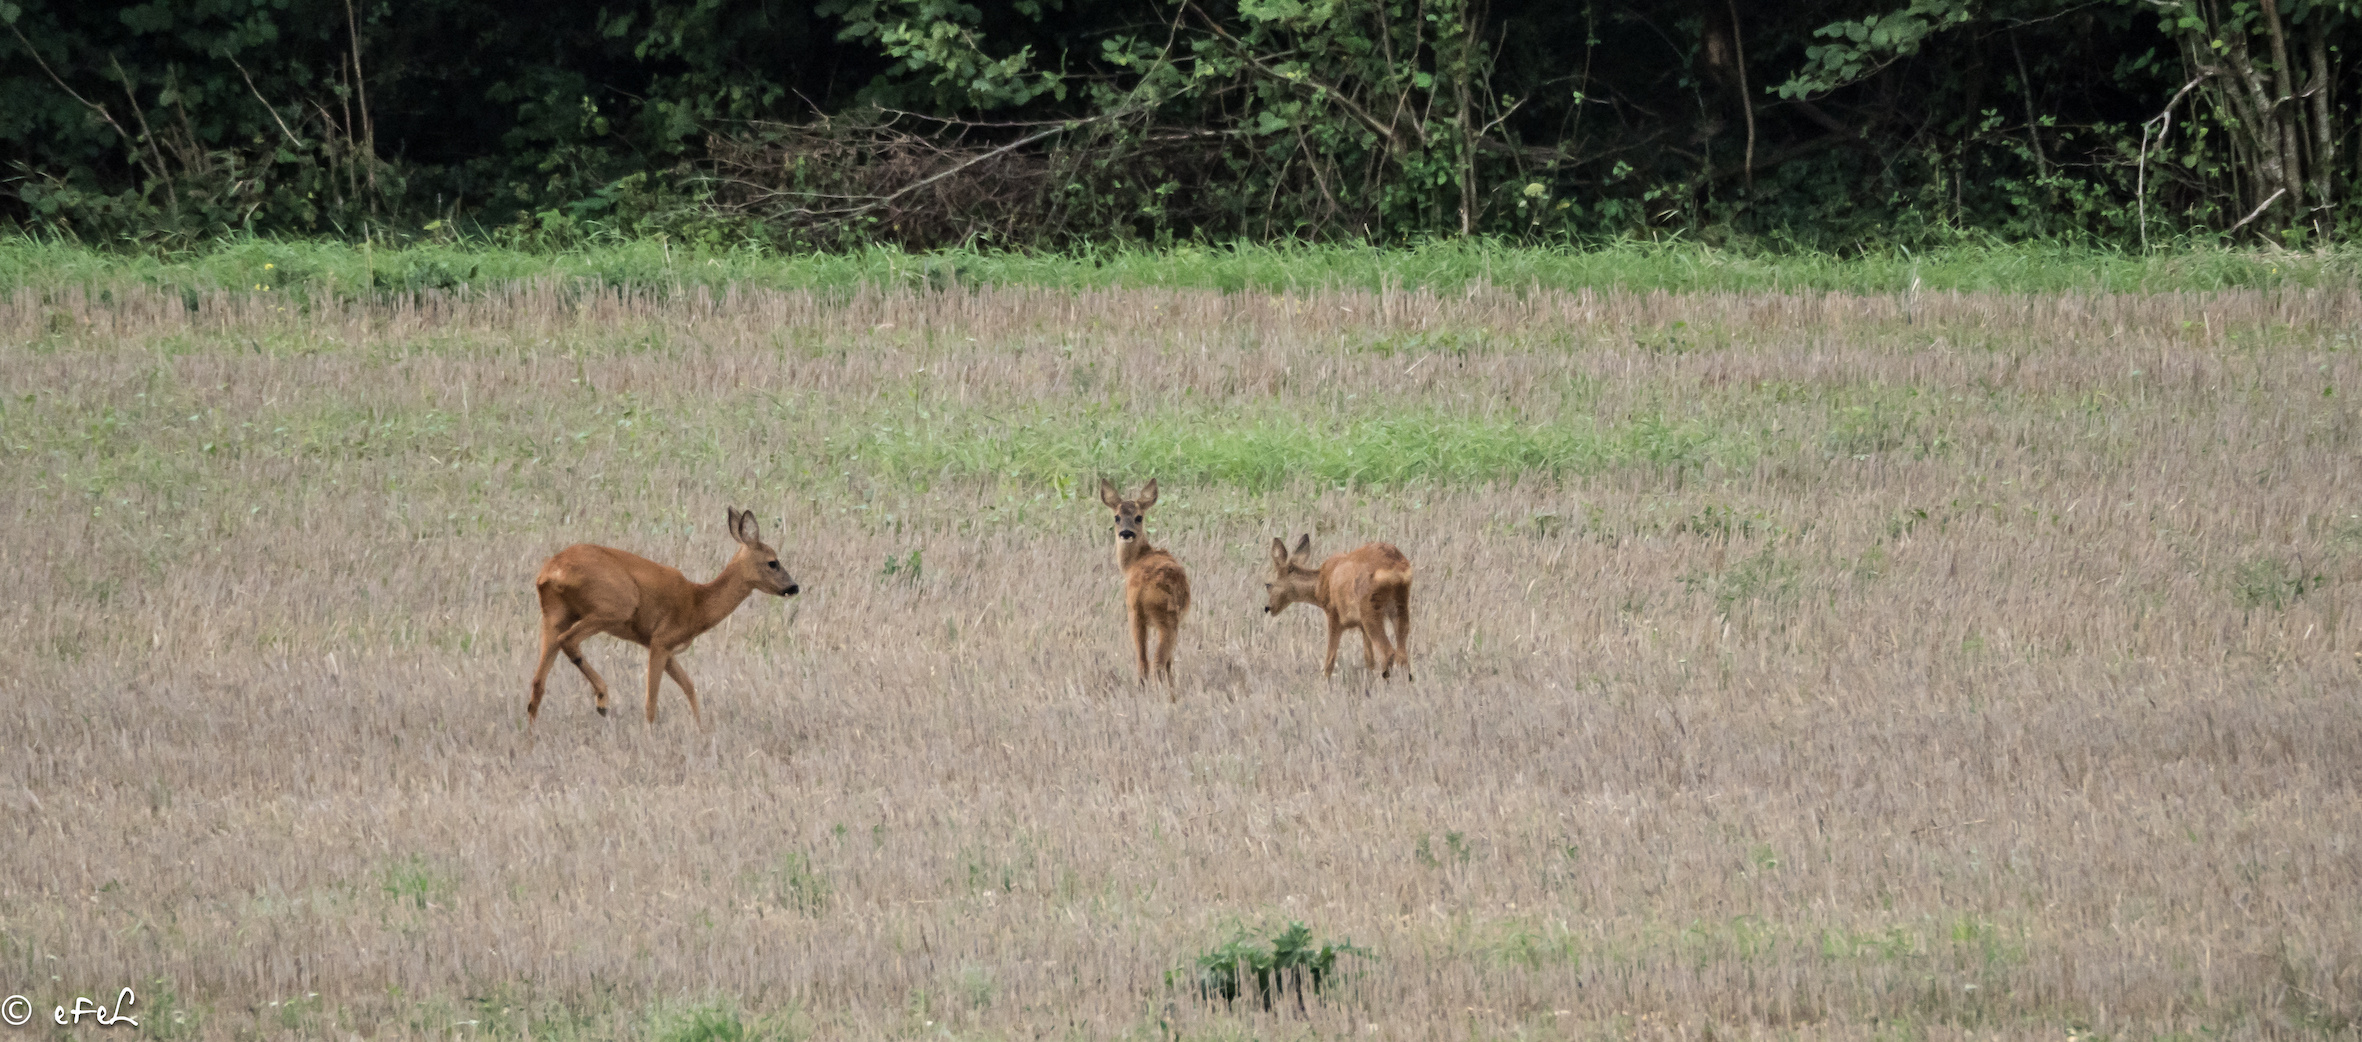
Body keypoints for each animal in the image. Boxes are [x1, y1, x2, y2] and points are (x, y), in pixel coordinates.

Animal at [531, 508, 798, 727]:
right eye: (773, 562)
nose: (794, 587)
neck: (698, 604)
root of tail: (551, 572)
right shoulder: (661, 640)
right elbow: (651, 701)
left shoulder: (666, 648)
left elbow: (689, 686)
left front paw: (701, 731)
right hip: (615, 606)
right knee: (568, 641)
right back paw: (603, 701)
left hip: (554, 615)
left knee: (537, 686)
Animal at [1095, 477, 1190, 680]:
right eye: (1117, 517)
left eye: (1139, 517)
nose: (1126, 533)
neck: (1137, 559)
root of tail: (1142, 590)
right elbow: (1169, 662)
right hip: (1168, 619)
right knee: (1159, 662)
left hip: (1135, 614)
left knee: (1142, 662)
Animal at [1266, 531, 1407, 680]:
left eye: (1268, 584)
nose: (1268, 608)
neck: (1320, 584)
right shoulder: (1361, 626)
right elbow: (1369, 661)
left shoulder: (1334, 616)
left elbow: (1329, 661)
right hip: (1399, 607)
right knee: (1402, 654)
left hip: (1371, 613)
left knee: (1389, 652)